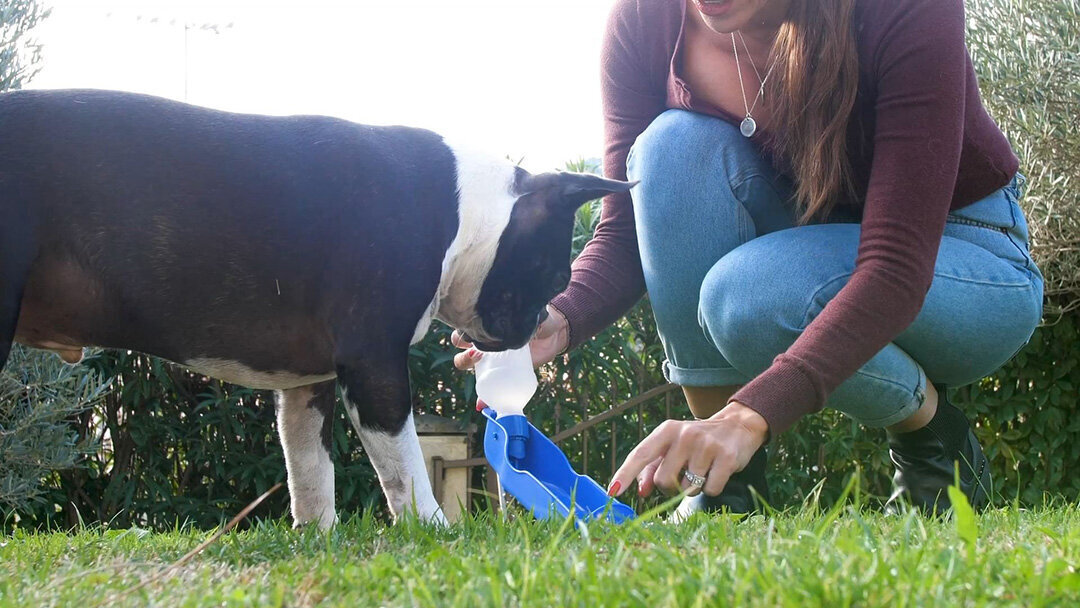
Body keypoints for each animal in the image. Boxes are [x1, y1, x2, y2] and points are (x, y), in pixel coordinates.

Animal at [0, 89, 630, 529]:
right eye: (556, 277)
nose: (539, 323)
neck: (468, 213)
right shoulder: (374, 364)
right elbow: (403, 465)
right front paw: (434, 529)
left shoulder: (306, 384)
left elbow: (308, 466)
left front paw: (316, 536)